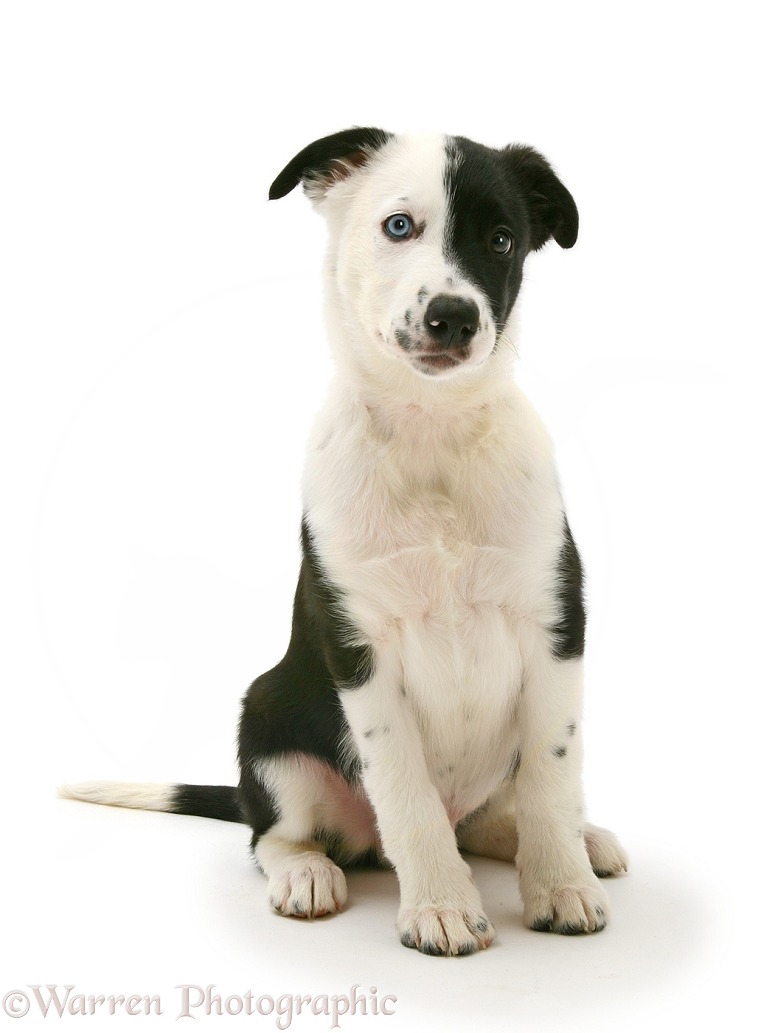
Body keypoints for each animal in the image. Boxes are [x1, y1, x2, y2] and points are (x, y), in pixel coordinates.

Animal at [63, 131, 623, 958]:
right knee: (275, 834)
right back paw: (308, 873)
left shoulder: (554, 625)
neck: (431, 432)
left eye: (500, 239)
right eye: (398, 226)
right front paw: (441, 905)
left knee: (493, 815)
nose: (452, 316)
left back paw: (580, 842)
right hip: (269, 723)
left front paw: (558, 883)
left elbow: (552, 777)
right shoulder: (359, 648)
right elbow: (405, 792)